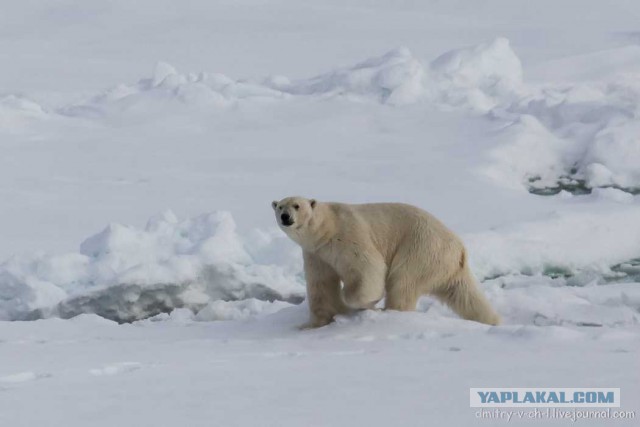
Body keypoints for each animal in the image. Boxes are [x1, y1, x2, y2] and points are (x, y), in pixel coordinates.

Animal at [270, 196, 500, 330]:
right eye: (279, 206)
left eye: (296, 205)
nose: (285, 216)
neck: (326, 228)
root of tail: (459, 249)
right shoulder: (316, 254)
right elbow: (321, 285)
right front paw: (311, 324)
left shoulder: (347, 236)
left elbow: (368, 266)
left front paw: (359, 302)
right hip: (444, 265)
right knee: (465, 295)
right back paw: (492, 320)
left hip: (421, 248)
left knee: (402, 282)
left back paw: (390, 312)